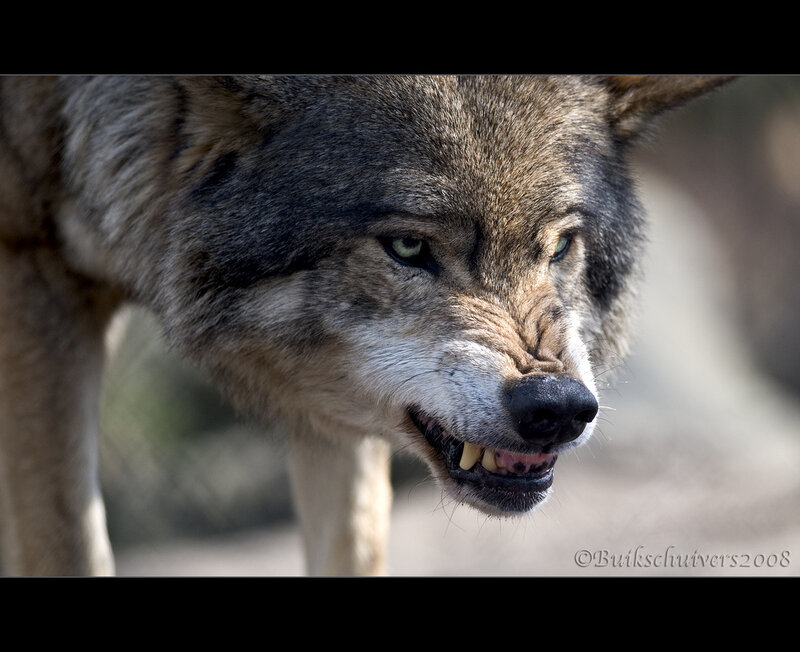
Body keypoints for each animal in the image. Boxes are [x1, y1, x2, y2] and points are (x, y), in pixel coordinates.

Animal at [0, 75, 728, 576]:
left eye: (558, 246)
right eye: (407, 247)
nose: (556, 407)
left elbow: (350, 545)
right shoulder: (34, 274)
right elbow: (67, 544)